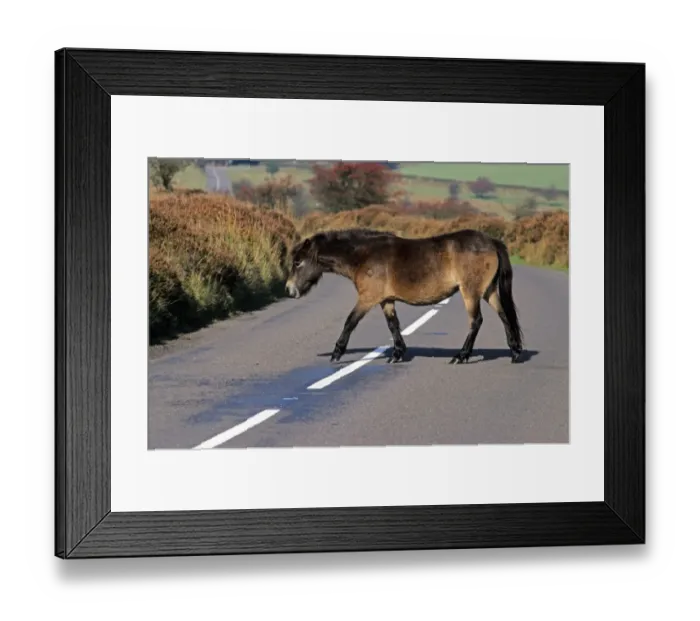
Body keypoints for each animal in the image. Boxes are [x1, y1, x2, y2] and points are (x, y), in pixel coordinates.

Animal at [284, 227, 524, 365]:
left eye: (298, 262)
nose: (289, 290)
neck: (363, 255)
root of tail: (491, 241)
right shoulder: (385, 300)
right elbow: (393, 325)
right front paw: (398, 353)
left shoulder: (367, 298)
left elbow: (350, 322)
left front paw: (337, 353)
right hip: (489, 291)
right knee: (504, 316)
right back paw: (515, 352)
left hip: (471, 292)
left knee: (476, 321)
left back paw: (462, 355)